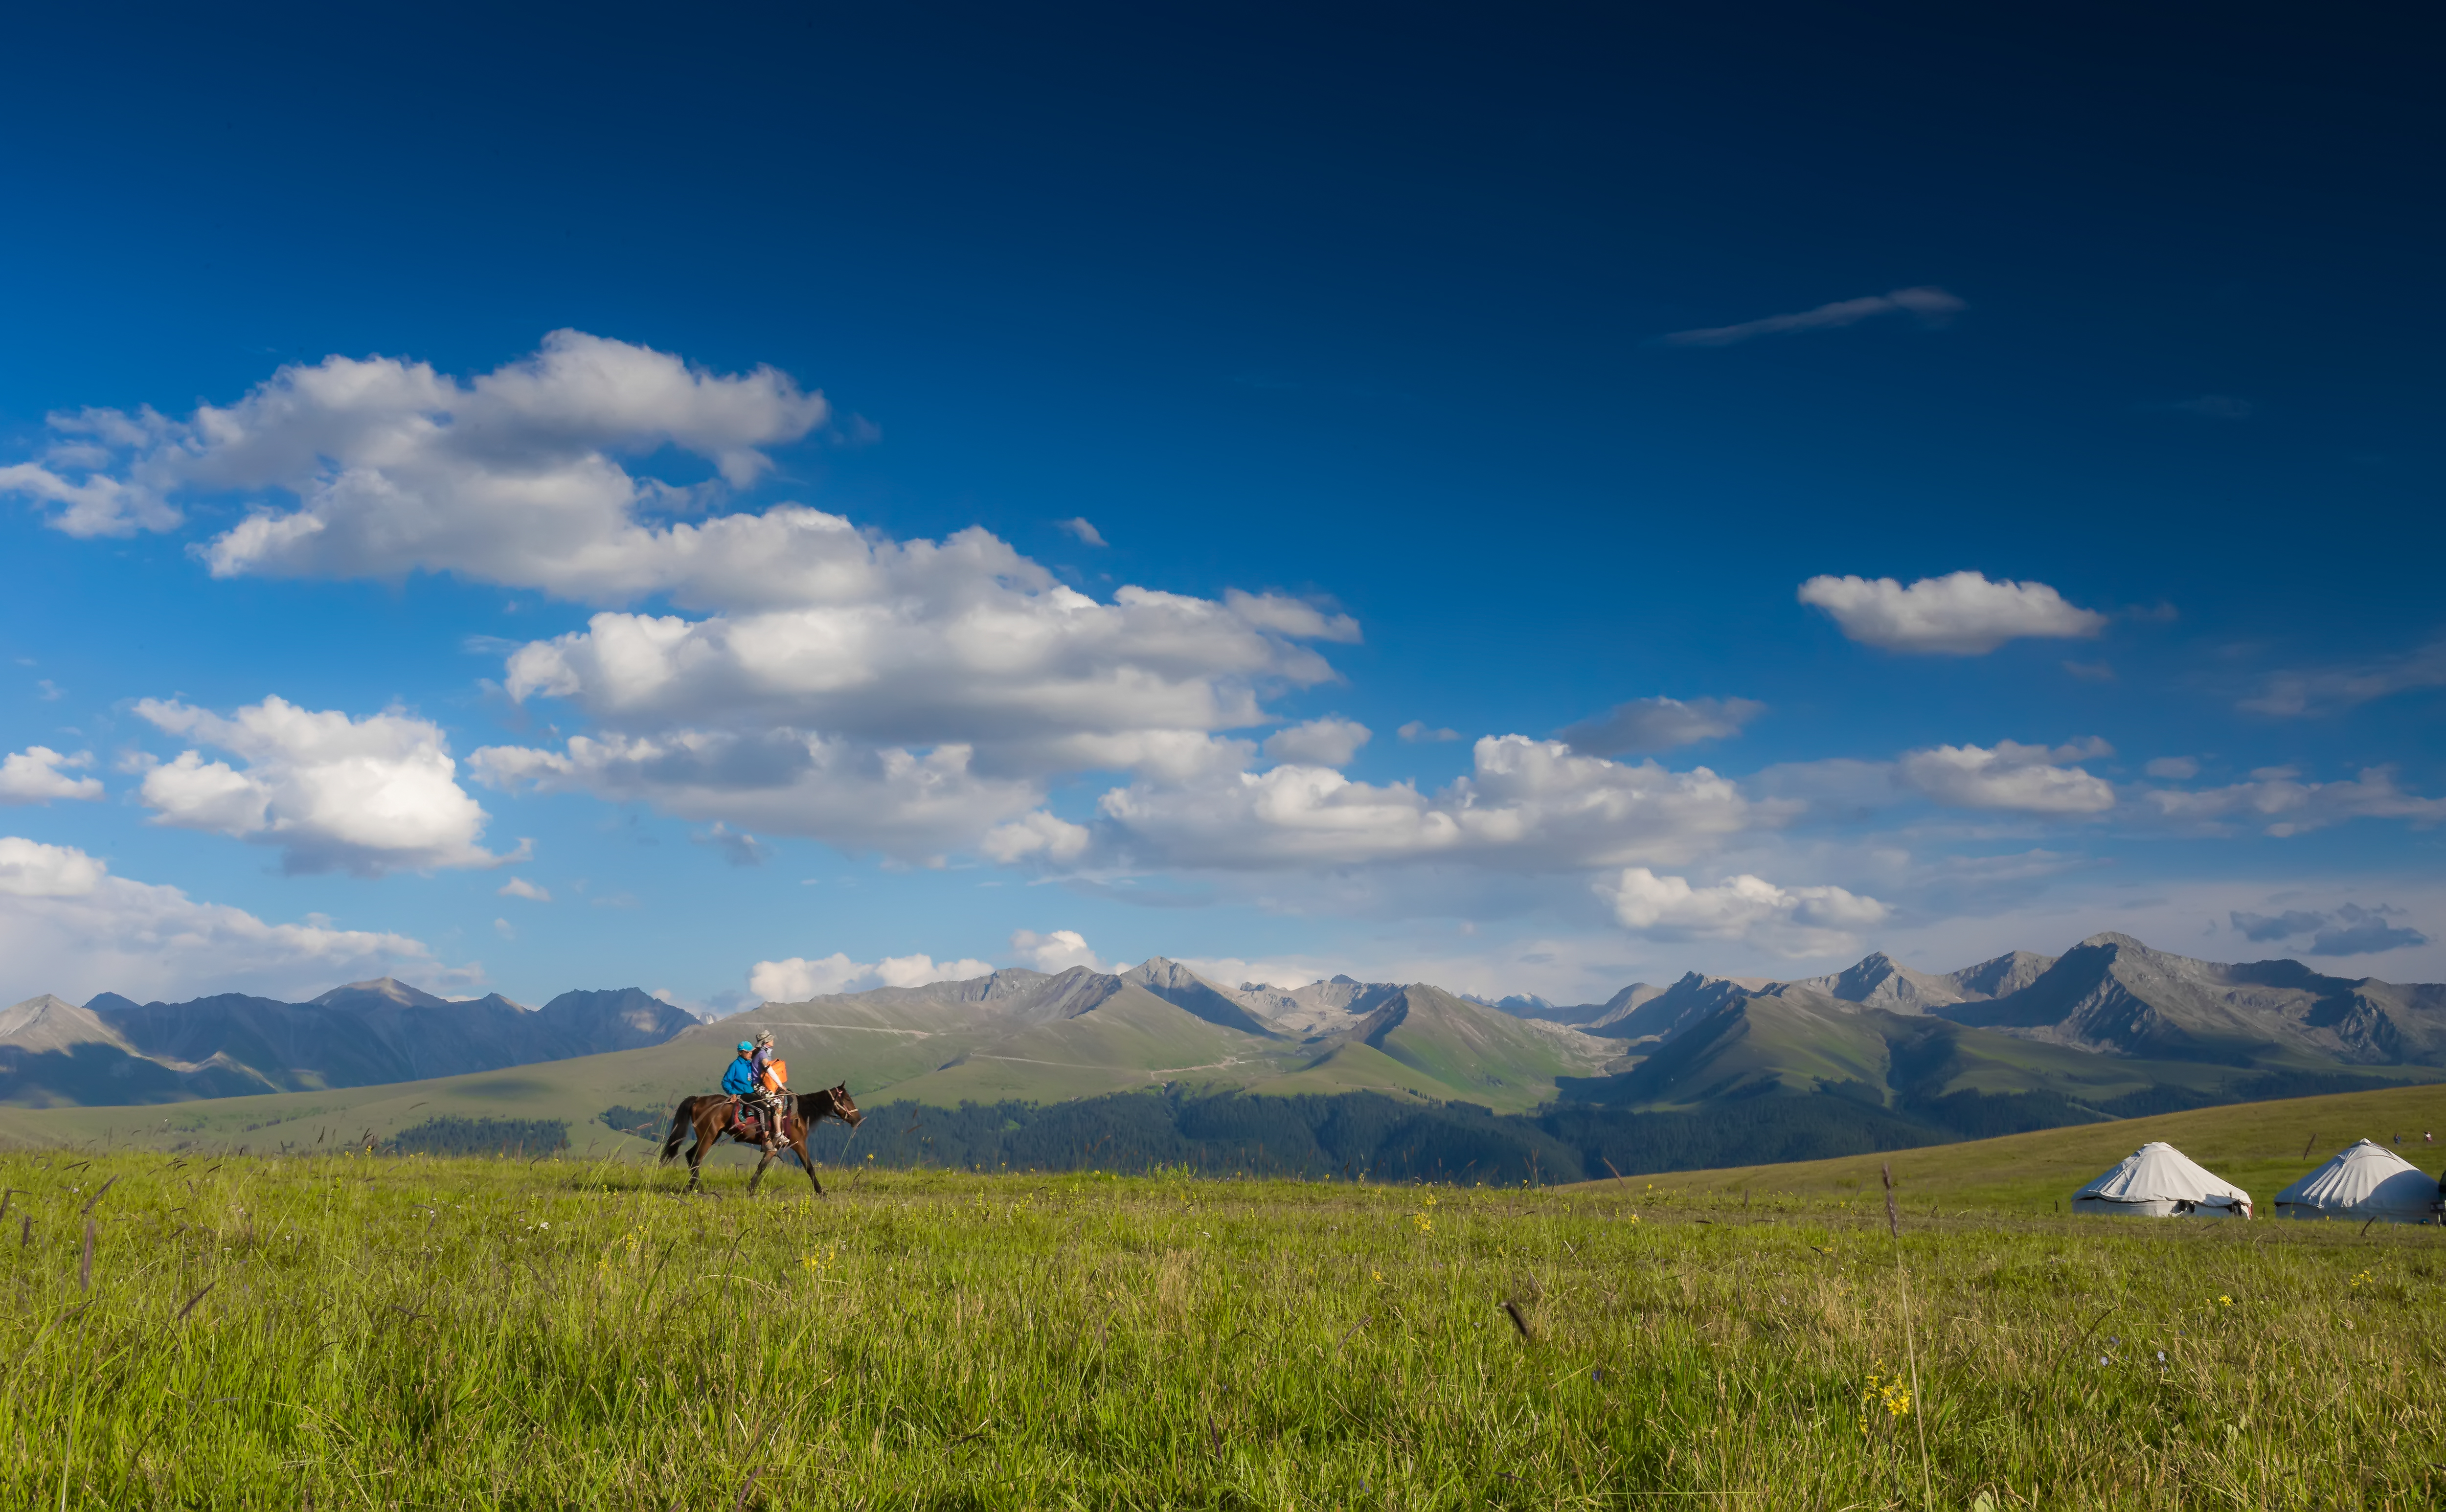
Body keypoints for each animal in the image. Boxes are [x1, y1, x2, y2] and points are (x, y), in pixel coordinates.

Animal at [665, 1081, 866, 1189]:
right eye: (848, 1099)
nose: (858, 1120)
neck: (800, 1113)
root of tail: (698, 1100)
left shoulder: (773, 1146)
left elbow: (762, 1166)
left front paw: (751, 1189)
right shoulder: (798, 1143)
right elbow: (809, 1167)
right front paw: (821, 1192)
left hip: (710, 1136)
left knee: (690, 1156)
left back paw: (694, 1187)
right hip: (708, 1135)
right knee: (696, 1159)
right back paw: (698, 1188)